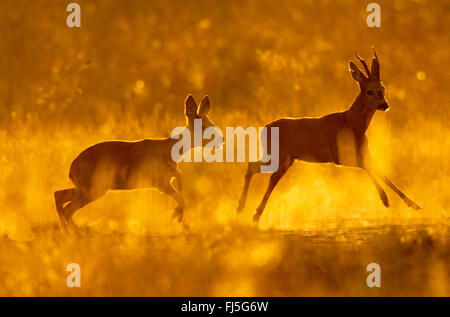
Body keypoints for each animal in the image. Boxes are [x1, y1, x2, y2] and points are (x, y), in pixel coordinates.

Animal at [53, 94, 214, 230]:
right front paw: (177, 215)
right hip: (93, 189)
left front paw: (178, 214)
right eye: (203, 127)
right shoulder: (159, 181)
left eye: (211, 123)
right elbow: (179, 188)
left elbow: (179, 178)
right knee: (67, 208)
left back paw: (69, 231)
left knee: (59, 196)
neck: (169, 150)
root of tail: (71, 170)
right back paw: (77, 232)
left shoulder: (163, 179)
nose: (219, 138)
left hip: (87, 188)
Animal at [239, 49, 422, 222]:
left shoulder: (365, 152)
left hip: (286, 159)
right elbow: (367, 167)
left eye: (383, 89)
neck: (351, 124)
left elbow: (382, 173)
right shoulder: (338, 155)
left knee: (264, 173)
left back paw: (252, 212)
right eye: (370, 91)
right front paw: (384, 199)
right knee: (259, 171)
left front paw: (413, 204)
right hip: (279, 155)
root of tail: (264, 128)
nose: (385, 105)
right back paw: (245, 209)